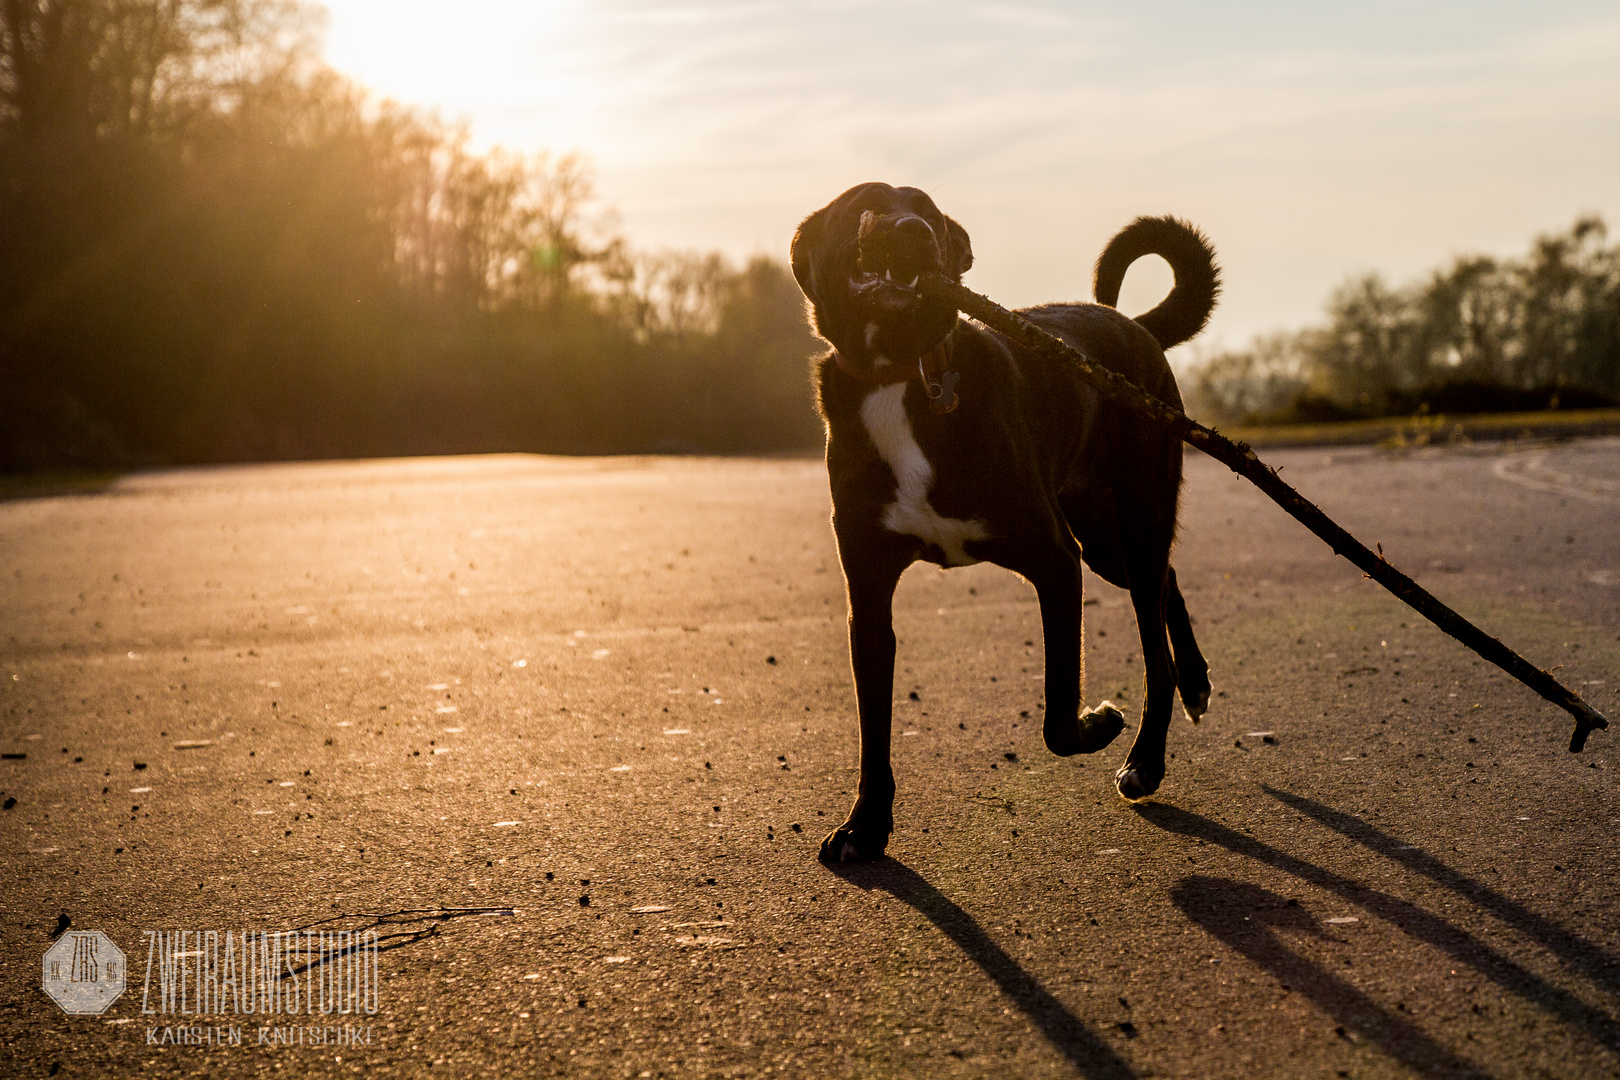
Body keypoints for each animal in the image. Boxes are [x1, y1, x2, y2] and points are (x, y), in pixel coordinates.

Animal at [790, 181, 1218, 867]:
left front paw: (1100, 724)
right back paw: (1195, 682)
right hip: (1107, 540)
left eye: (929, 214)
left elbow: (1058, 717)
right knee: (1165, 581)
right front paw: (866, 826)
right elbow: (873, 732)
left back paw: (1147, 757)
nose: (913, 234)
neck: (902, 374)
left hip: (1132, 516)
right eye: (861, 204)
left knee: (1155, 648)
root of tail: (1134, 326)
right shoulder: (869, 596)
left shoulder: (1054, 562)